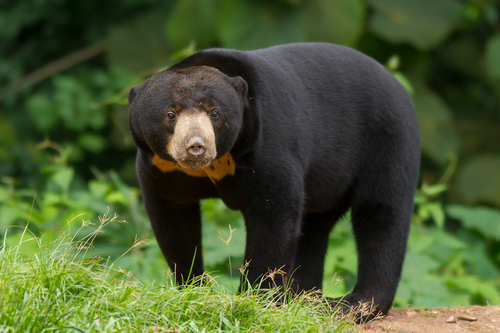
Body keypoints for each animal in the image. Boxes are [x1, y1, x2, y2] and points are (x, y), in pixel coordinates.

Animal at [127, 41, 420, 320]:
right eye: (171, 114)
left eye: (214, 113)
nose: (196, 147)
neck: (218, 162)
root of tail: (398, 85)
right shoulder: (161, 166)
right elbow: (173, 219)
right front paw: (193, 288)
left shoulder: (268, 143)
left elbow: (273, 216)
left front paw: (255, 299)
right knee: (314, 226)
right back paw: (303, 296)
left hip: (387, 140)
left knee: (380, 215)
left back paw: (354, 305)